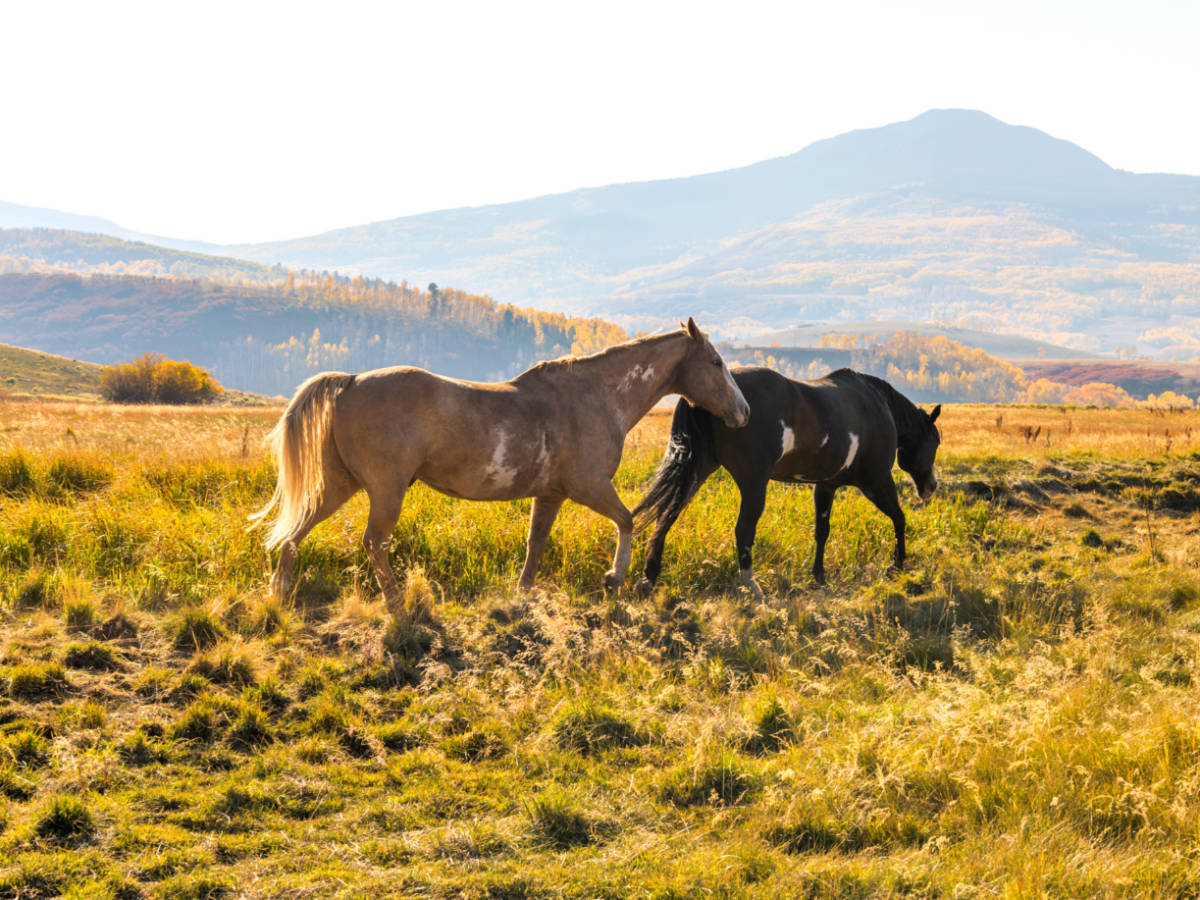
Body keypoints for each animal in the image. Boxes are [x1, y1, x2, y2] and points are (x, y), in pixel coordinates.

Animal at [251, 318, 750, 603]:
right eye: (715, 360)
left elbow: (536, 544)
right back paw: (396, 600)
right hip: (385, 491)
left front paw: (523, 594)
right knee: (374, 543)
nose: (743, 412)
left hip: (341, 485)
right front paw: (616, 577)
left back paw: (279, 593)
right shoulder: (589, 487)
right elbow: (627, 520)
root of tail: (351, 381)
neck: (596, 396)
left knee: (295, 534)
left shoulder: (550, 496)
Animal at [632, 367, 941, 598]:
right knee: (743, 530)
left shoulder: (825, 486)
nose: (931, 487)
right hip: (753, 483)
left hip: (698, 469)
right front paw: (898, 565)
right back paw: (753, 588)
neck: (878, 405)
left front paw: (819, 577)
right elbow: (899, 518)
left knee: (666, 516)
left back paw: (650, 577)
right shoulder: (876, 482)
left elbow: (822, 531)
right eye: (935, 441)